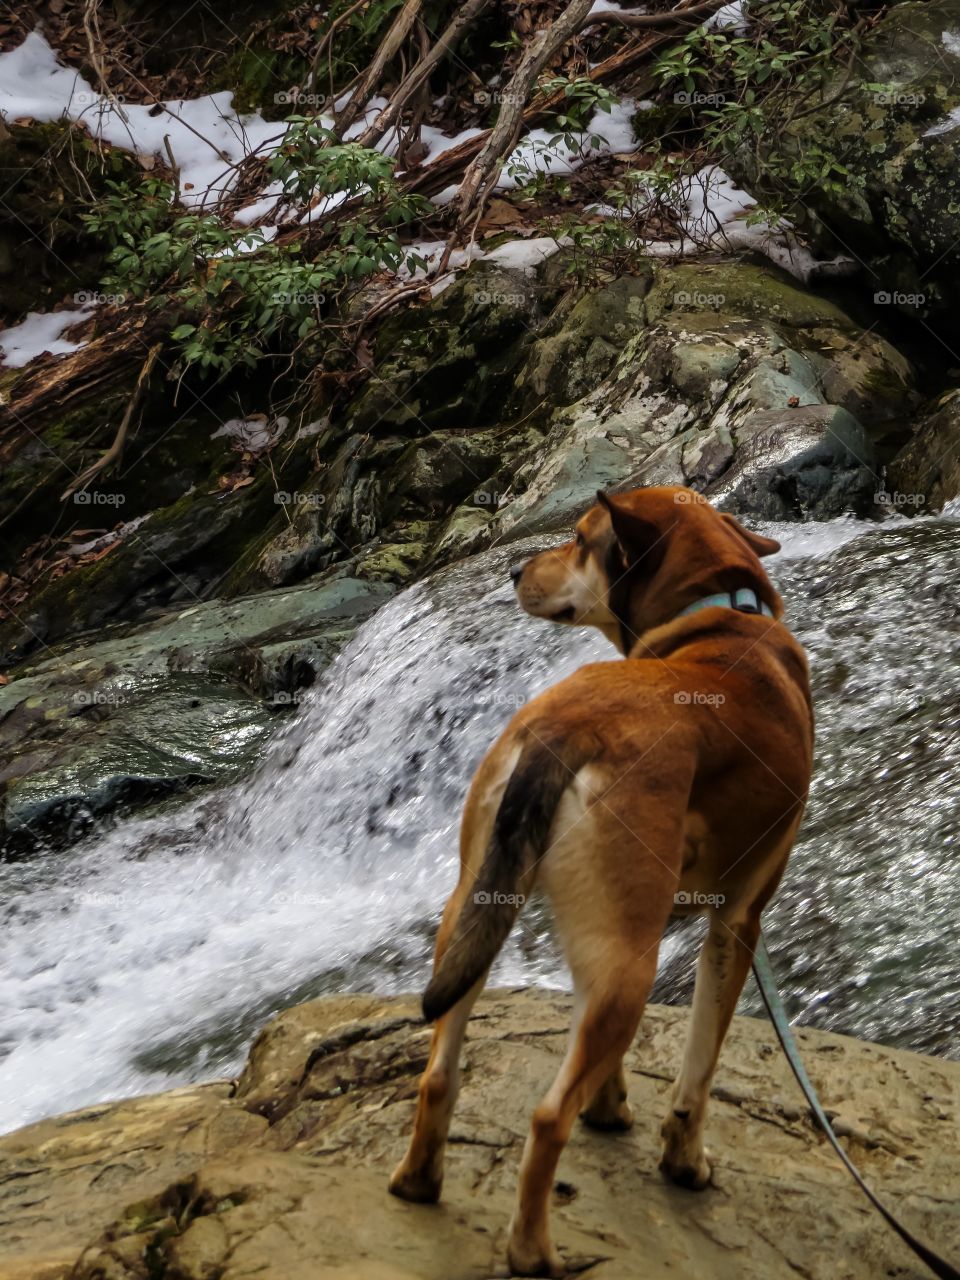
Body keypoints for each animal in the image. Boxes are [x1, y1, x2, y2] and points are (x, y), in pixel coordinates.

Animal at [386, 483, 814, 1274]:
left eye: (581, 540)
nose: (513, 571)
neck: (719, 613)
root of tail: (566, 732)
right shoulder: (736, 919)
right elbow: (699, 1065)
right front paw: (684, 1160)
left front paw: (609, 1104)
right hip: (631, 962)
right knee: (546, 1117)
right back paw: (532, 1248)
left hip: (477, 912)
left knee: (439, 1071)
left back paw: (420, 1179)